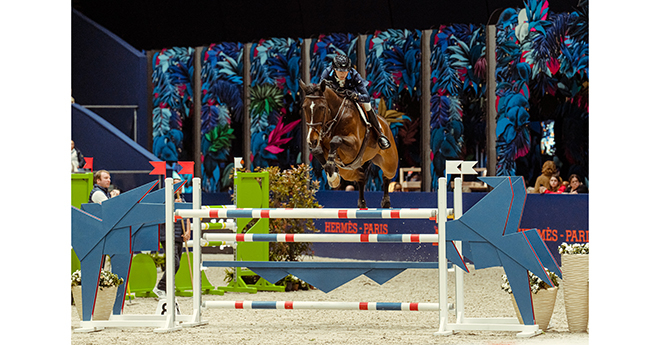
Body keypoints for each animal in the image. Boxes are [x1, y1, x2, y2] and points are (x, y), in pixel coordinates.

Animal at [300, 79, 398, 207]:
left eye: (321, 107)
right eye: (304, 107)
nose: (311, 140)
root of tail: (384, 122)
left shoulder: (354, 147)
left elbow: (336, 140)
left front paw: (331, 168)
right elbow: (317, 150)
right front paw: (332, 175)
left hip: (389, 163)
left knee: (386, 176)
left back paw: (386, 202)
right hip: (348, 171)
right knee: (361, 176)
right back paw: (362, 203)